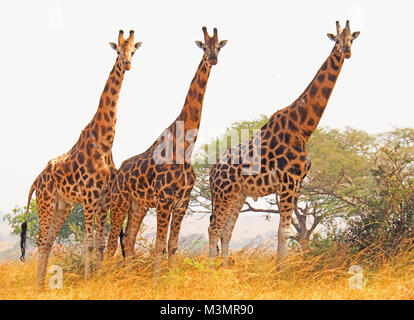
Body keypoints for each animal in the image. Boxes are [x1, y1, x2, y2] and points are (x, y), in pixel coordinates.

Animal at [20, 30, 143, 286]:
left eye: (133, 51)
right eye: (118, 50)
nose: (127, 63)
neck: (105, 142)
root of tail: (36, 180)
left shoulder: (104, 198)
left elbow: (99, 242)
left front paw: (97, 276)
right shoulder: (89, 196)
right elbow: (88, 243)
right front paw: (88, 279)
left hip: (62, 206)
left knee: (48, 241)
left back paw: (42, 285)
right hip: (46, 201)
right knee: (41, 241)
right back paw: (38, 285)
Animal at [104, 26, 226, 274]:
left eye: (218, 47)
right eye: (204, 47)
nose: (213, 58)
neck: (185, 146)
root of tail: (118, 174)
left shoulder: (182, 202)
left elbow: (172, 245)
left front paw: (168, 276)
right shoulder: (164, 200)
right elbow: (159, 245)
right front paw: (157, 279)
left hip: (138, 205)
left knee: (128, 239)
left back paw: (128, 275)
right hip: (120, 200)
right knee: (112, 242)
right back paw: (104, 275)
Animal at [209, 20, 360, 264]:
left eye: (352, 39)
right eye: (336, 39)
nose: (346, 51)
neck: (302, 130)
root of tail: (212, 170)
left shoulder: (298, 184)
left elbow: (287, 231)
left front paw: (283, 267)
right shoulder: (288, 181)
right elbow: (284, 231)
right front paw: (282, 269)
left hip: (238, 194)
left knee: (226, 230)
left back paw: (223, 268)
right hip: (224, 193)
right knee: (214, 228)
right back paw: (210, 268)